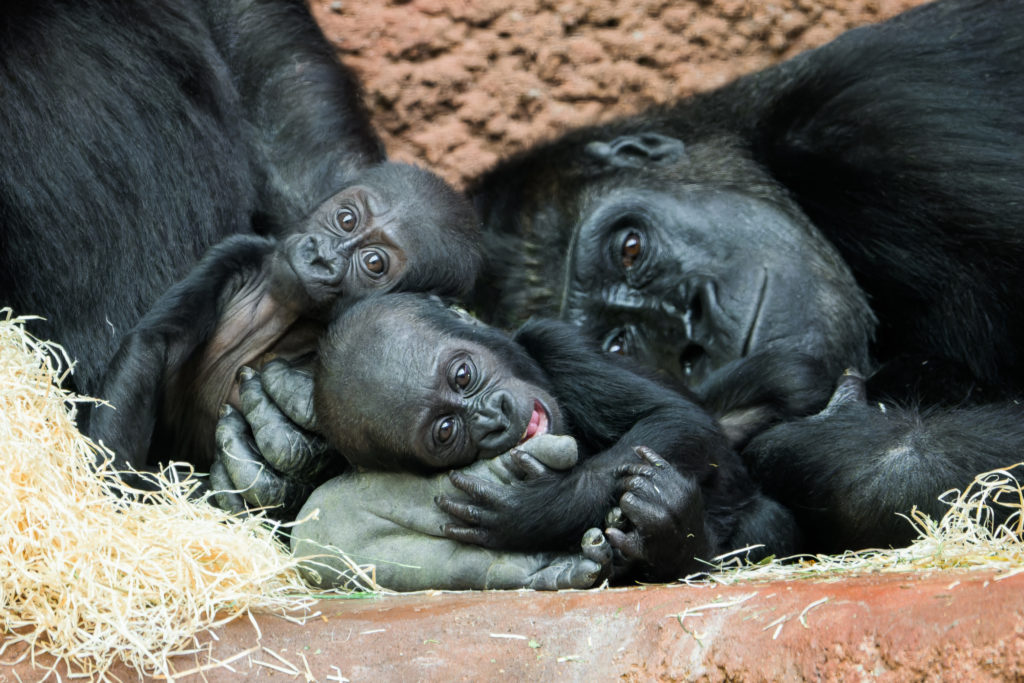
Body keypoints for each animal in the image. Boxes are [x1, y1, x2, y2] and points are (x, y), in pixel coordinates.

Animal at [214, 294, 798, 589]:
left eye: (463, 375)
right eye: (446, 431)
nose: (492, 417)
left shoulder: (557, 340)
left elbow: (677, 419)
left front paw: (539, 507)